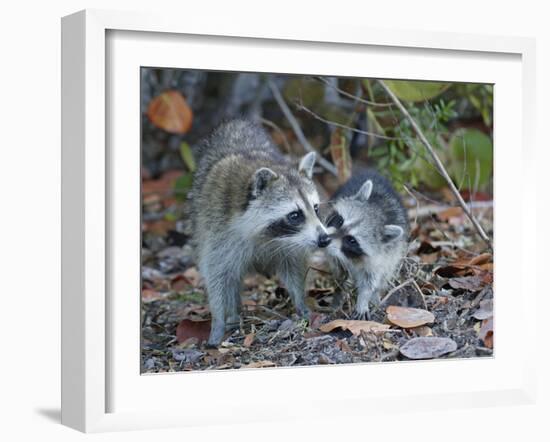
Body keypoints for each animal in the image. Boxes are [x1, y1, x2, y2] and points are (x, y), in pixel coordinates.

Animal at [326, 168, 412, 318]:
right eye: (340, 220)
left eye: (351, 240)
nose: (323, 240)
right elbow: (337, 268)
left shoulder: (382, 255)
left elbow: (370, 280)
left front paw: (364, 299)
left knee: (385, 274)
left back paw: (375, 297)